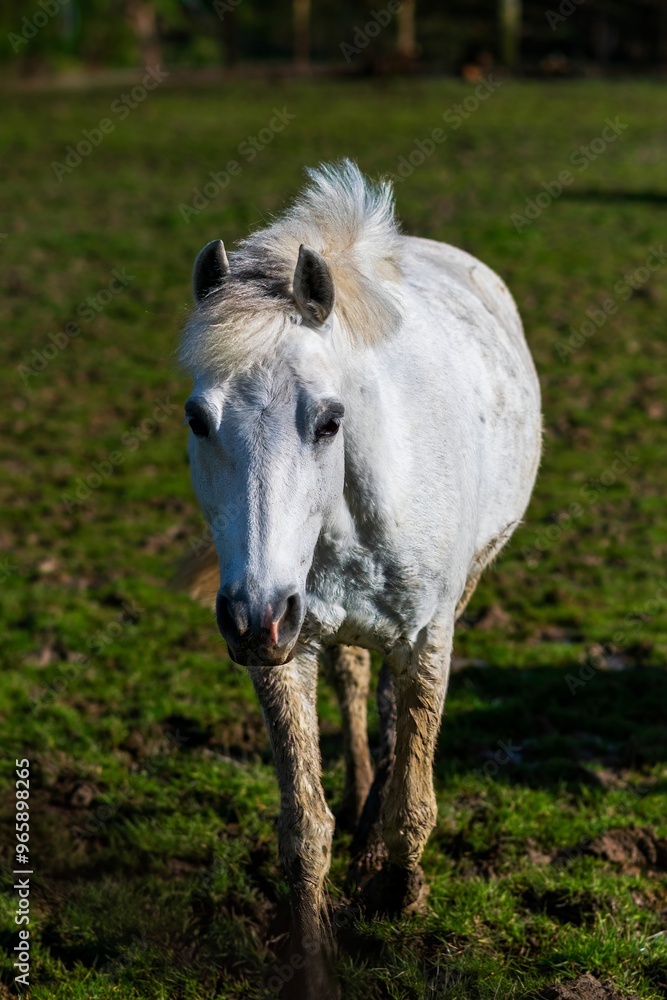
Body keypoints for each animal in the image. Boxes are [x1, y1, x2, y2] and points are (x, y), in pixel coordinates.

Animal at [178, 159, 541, 993]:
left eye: (328, 420)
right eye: (197, 419)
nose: (252, 616)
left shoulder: (428, 634)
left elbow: (415, 794)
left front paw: (399, 897)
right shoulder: (284, 652)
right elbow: (303, 827)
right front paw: (313, 964)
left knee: (392, 716)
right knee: (354, 682)